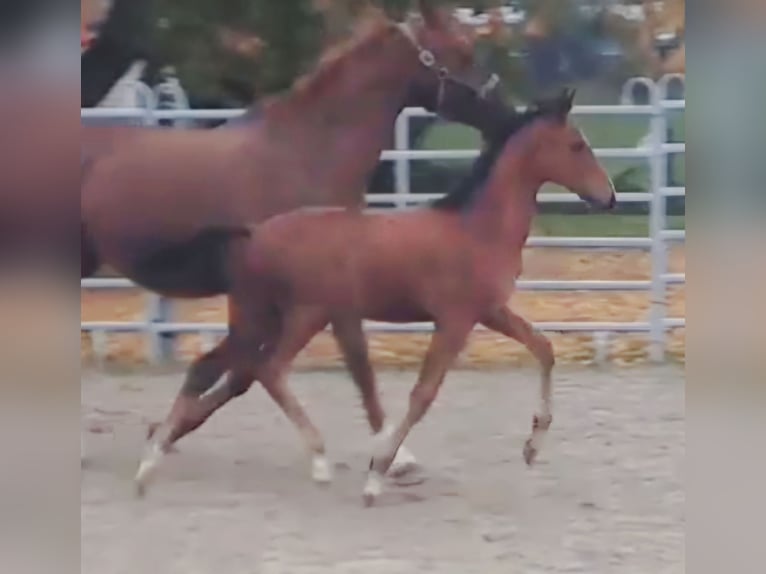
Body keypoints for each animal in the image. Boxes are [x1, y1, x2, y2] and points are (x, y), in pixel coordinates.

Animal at [84, 3, 508, 482]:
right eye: (462, 51)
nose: (507, 114)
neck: (306, 155)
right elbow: (340, 365)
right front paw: (396, 456)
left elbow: (251, 372)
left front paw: (166, 431)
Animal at [138, 86, 616, 504]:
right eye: (576, 145)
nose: (608, 197)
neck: (476, 228)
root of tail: (253, 232)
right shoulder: (455, 320)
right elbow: (423, 394)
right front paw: (376, 475)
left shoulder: (490, 311)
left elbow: (544, 348)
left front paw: (532, 447)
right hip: (297, 315)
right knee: (267, 370)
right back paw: (316, 461)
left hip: (266, 317)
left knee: (223, 369)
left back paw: (151, 464)